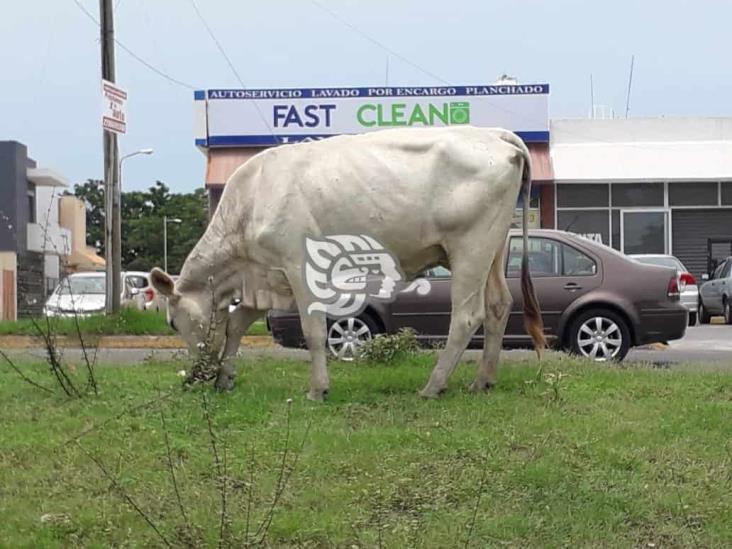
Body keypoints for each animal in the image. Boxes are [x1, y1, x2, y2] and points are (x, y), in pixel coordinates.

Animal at [152, 126, 548, 400]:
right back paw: (482, 380)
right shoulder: (266, 277)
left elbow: (313, 331)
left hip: (470, 246)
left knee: (466, 316)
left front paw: (317, 389)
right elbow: (235, 325)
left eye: (171, 322)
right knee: (498, 305)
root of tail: (494, 134)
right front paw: (225, 378)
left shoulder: (297, 264)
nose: (195, 377)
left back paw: (433, 386)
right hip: (492, 248)